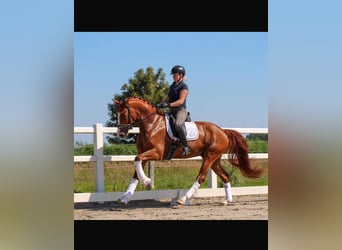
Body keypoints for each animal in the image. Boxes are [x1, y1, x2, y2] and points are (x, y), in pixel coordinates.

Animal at [113, 96, 264, 206]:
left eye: (123, 113)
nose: (120, 134)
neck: (152, 124)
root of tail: (222, 131)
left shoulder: (157, 153)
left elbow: (137, 159)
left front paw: (147, 181)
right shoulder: (145, 153)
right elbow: (136, 170)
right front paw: (125, 197)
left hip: (210, 156)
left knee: (201, 176)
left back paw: (183, 198)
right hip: (215, 159)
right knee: (225, 176)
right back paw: (227, 200)